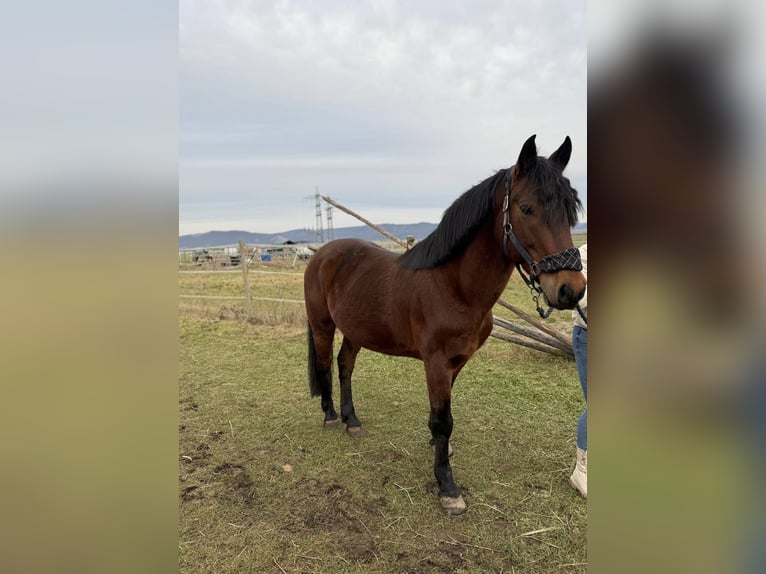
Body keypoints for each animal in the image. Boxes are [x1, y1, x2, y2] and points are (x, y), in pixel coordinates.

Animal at [304, 136, 584, 516]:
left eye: (571, 210)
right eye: (527, 208)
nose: (571, 290)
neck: (452, 285)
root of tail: (321, 253)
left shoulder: (457, 361)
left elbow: (441, 417)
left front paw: (441, 452)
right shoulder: (435, 361)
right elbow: (443, 420)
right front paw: (447, 487)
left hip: (356, 329)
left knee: (344, 365)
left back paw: (353, 421)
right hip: (323, 324)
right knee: (324, 365)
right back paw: (332, 416)